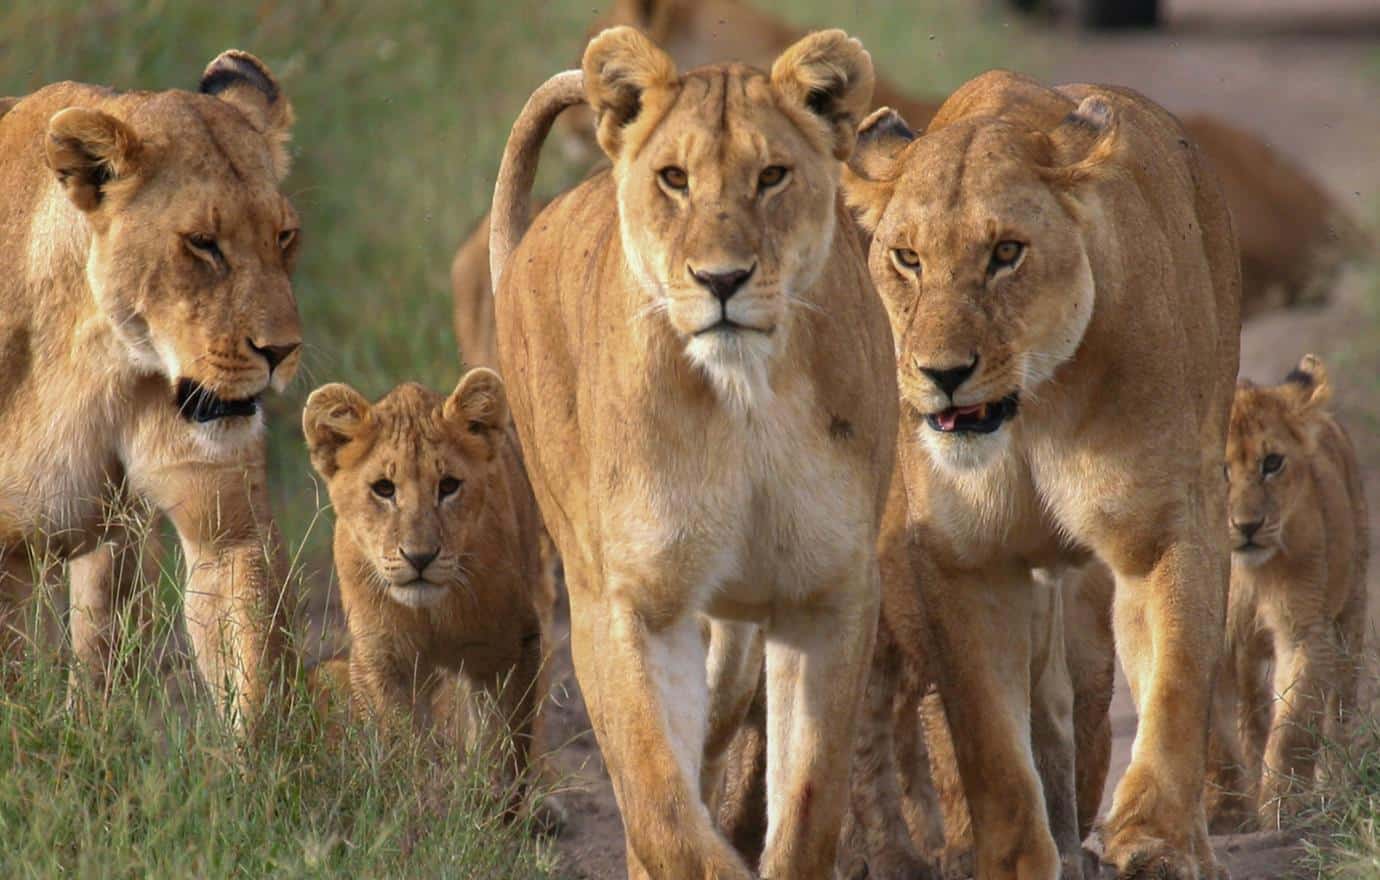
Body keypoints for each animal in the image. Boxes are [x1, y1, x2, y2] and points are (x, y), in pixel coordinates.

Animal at [0, 51, 302, 722]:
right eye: (202, 244)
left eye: (284, 236)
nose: (280, 351)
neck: (98, 360)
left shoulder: (224, 516)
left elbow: (253, 662)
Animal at [302, 369, 558, 815]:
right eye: (384, 488)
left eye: (449, 486)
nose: (419, 557)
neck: (431, 614)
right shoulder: (382, 657)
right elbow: (402, 744)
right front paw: (418, 807)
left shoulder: (509, 647)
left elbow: (503, 743)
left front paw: (488, 812)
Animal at [488, 25, 898, 879]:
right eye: (673, 179)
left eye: (772, 176)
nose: (722, 280)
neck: (743, 400)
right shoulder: (627, 604)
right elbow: (663, 808)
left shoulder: (829, 595)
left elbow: (808, 803)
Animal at [842, 70, 1240, 878]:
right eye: (907, 259)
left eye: (1006, 253)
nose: (943, 374)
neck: (1032, 414)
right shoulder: (962, 560)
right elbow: (990, 742)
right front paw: (1017, 858)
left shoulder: (1165, 531)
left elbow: (1177, 681)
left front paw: (1154, 841)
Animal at [1208, 355, 1368, 830]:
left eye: (1272, 463)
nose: (1247, 526)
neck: (1245, 574)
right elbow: (1214, 735)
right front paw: (1225, 811)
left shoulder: (1305, 630)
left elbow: (1294, 723)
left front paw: (1284, 802)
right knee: (1251, 712)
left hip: (1350, 614)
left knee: (1339, 709)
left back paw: (1334, 783)